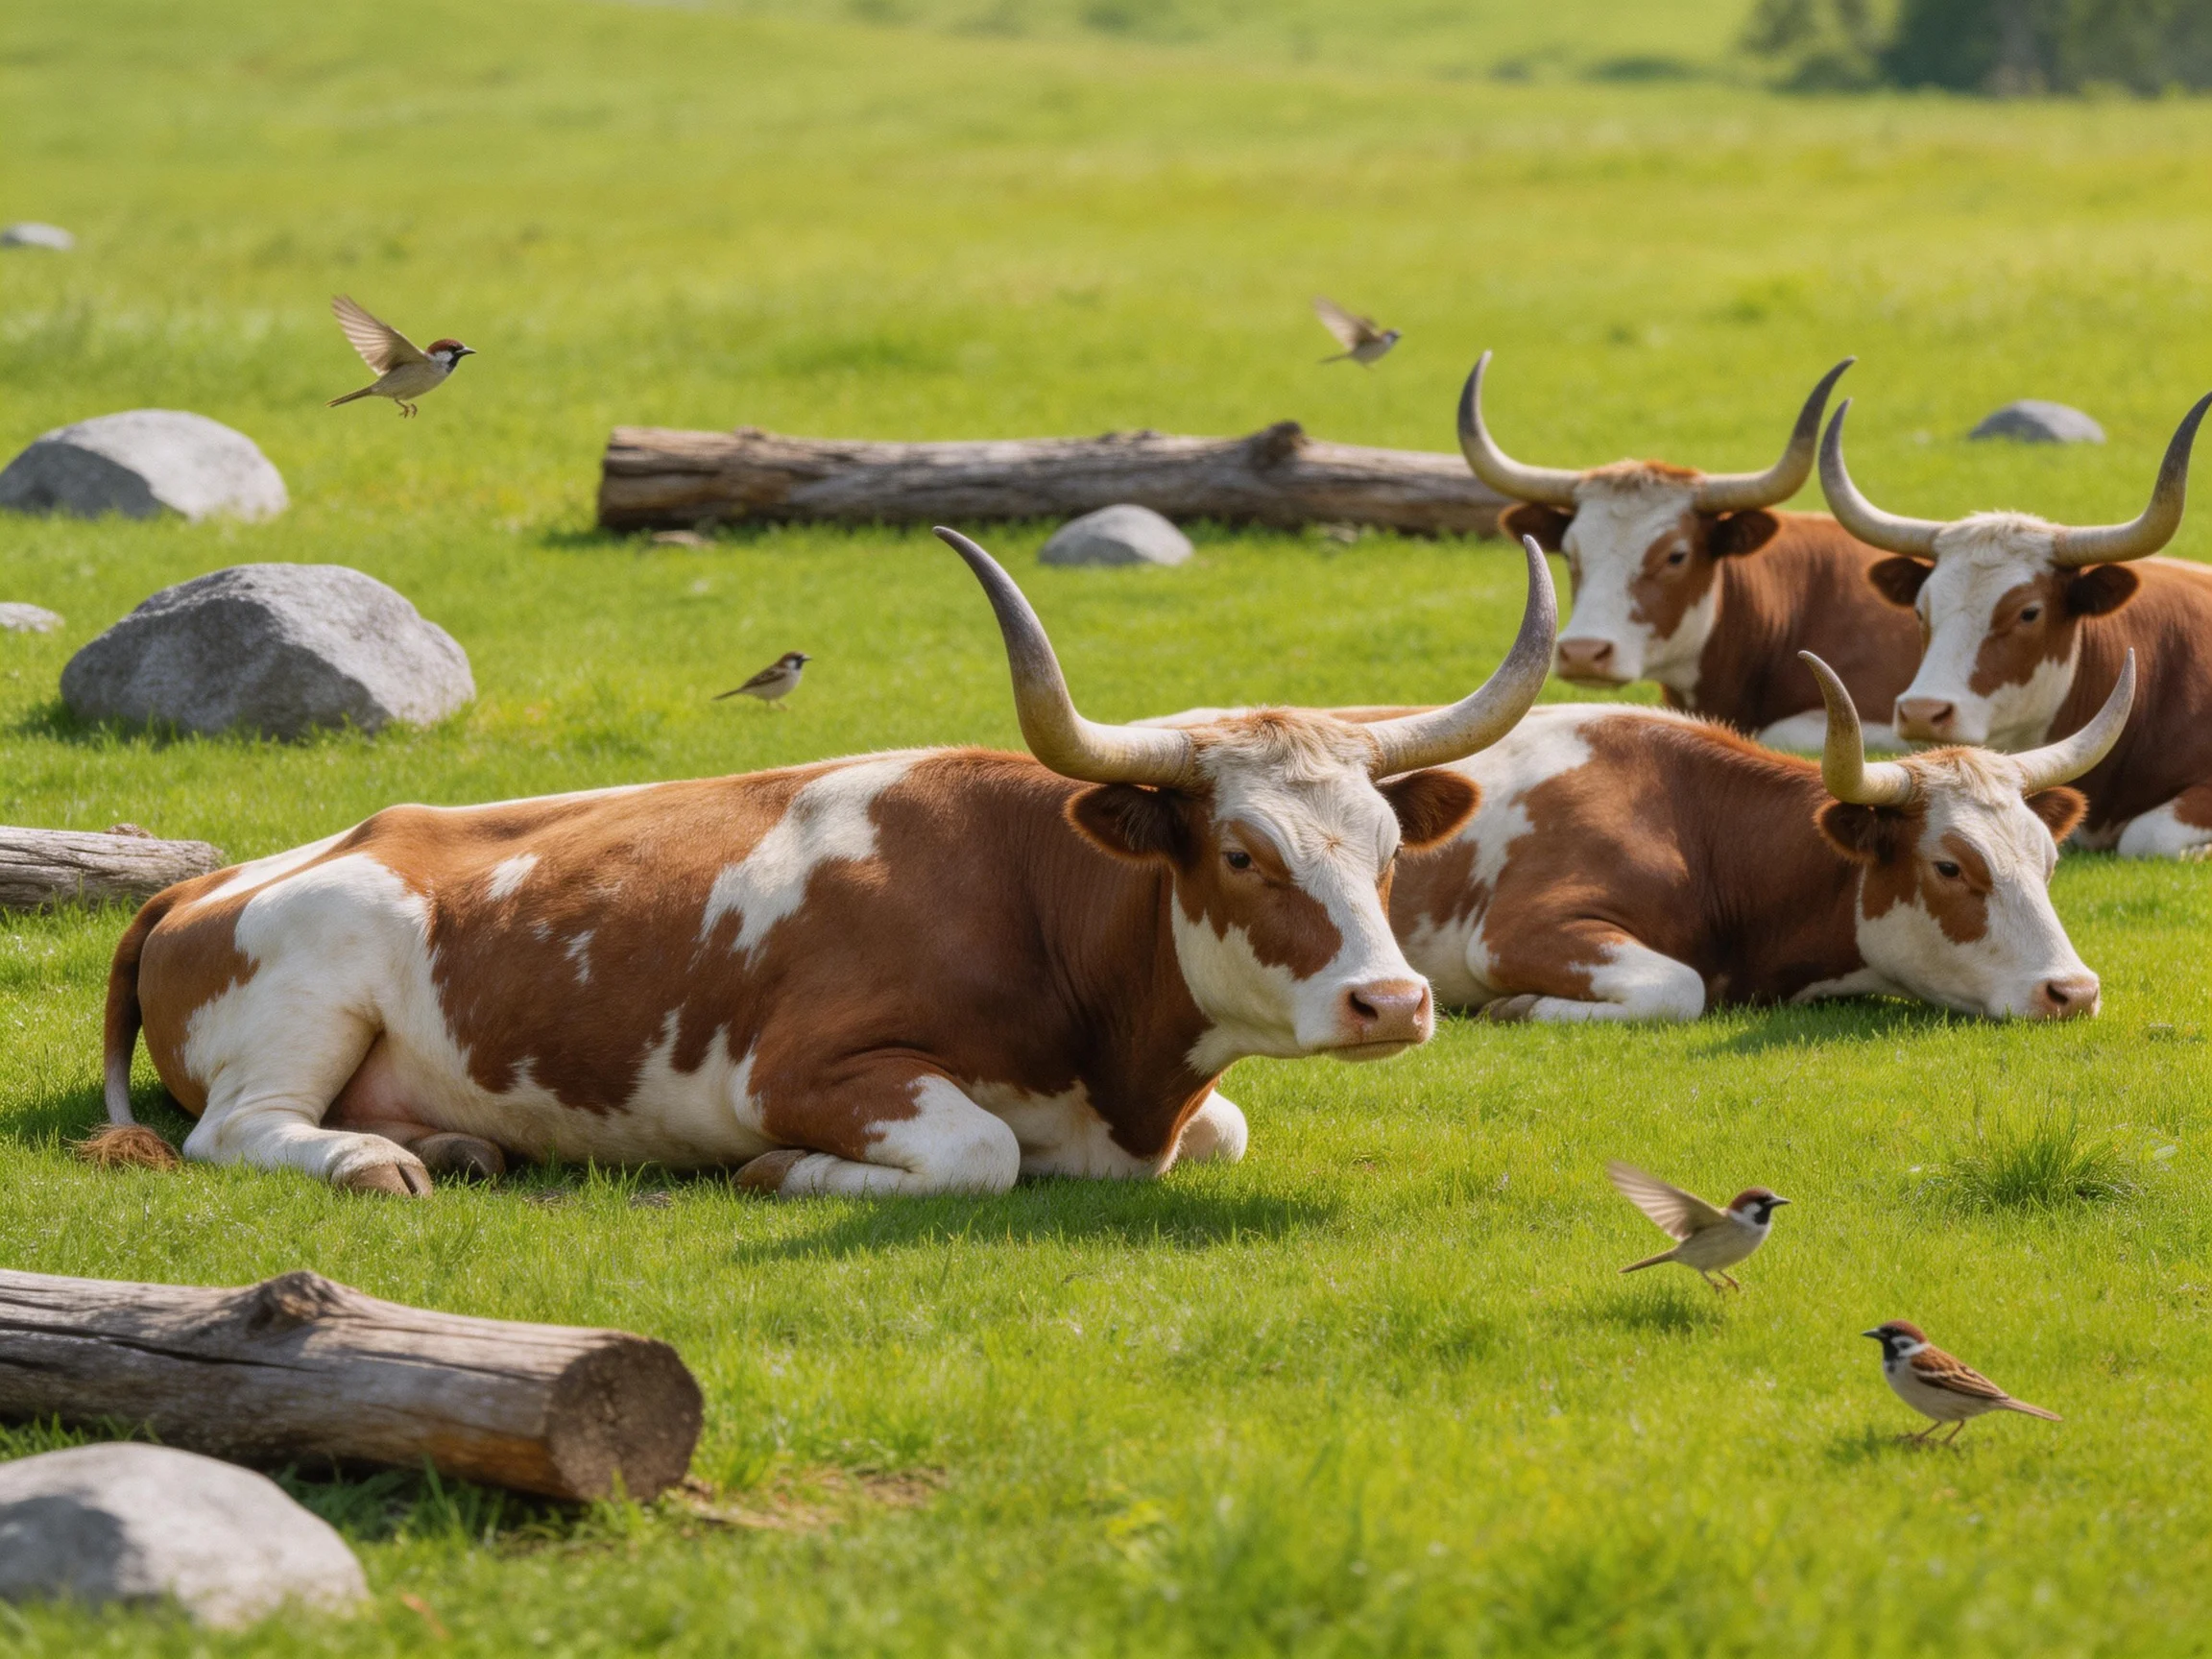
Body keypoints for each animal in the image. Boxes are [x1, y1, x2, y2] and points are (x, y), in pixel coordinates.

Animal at [82, 529, 1556, 1198]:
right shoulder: (807, 1070)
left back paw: (449, 1140)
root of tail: (205, 883)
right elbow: (976, 1154)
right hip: (308, 988)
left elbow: (1229, 1129)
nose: (1392, 1003)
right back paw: (372, 1164)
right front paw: (771, 1174)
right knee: (240, 1129)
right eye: (1243, 851)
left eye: (1387, 848)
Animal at [1338, 651, 2130, 1022]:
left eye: (2048, 862)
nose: (2073, 991)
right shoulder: (1517, 931)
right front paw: (1518, 1007)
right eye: (1949, 867)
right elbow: (1677, 987)